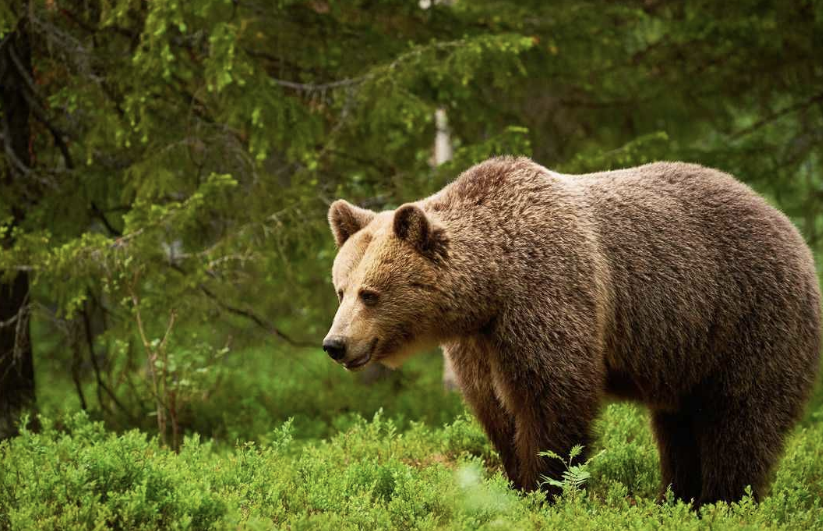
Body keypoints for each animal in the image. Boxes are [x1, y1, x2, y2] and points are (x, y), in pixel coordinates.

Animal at [326, 157, 820, 508]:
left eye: (370, 294)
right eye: (340, 289)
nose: (335, 344)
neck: (492, 287)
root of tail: (787, 224)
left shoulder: (548, 293)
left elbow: (553, 397)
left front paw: (549, 488)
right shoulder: (479, 343)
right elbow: (495, 411)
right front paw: (517, 483)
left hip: (748, 318)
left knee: (740, 416)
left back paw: (723, 500)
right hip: (688, 350)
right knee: (679, 424)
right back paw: (677, 498)